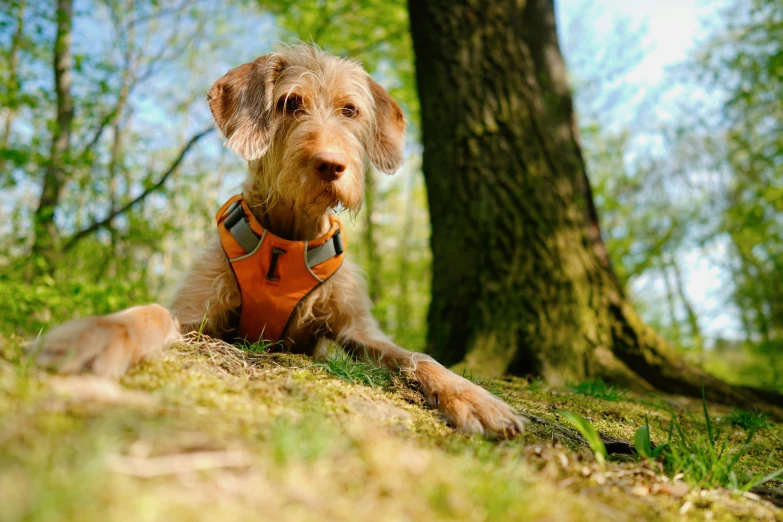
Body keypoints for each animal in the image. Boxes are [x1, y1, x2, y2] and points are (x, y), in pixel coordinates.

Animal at [33, 44, 524, 436]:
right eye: (291, 103)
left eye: (350, 110)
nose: (331, 165)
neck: (287, 238)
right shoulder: (194, 316)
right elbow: (150, 312)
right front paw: (96, 334)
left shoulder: (357, 328)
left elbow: (418, 355)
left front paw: (474, 397)